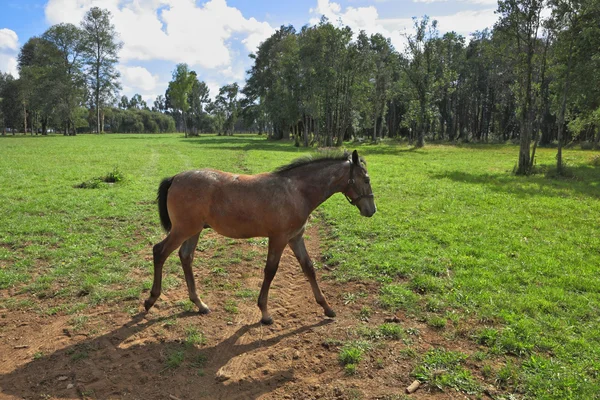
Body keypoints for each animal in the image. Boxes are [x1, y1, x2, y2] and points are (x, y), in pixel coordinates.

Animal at [145, 148, 376, 324]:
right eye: (366, 179)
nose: (371, 210)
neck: (296, 192)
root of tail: (175, 178)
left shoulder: (295, 238)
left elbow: (309, 268)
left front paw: (327, 308)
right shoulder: (279, 238)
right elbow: (270, 271)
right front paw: (265, 313)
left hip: (194, 231)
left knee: (186, 257)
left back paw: (200, 304)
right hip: (183, 229)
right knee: (160, 251)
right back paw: (151, 300)